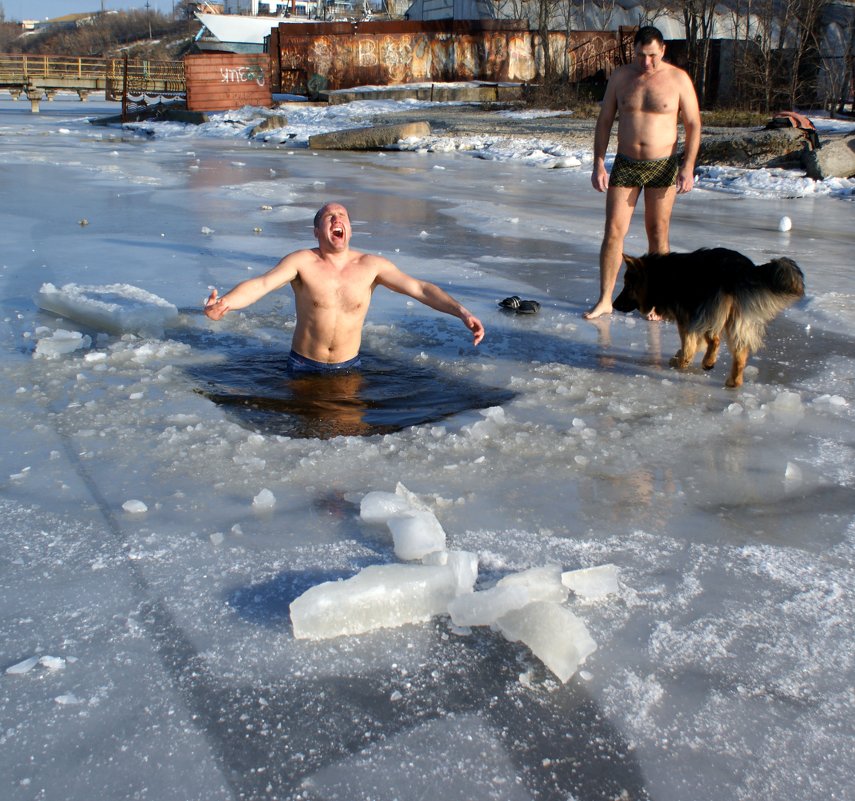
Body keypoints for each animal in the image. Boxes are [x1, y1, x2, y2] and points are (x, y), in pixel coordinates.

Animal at [616, 248, 804, 390]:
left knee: (715, 339)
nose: (614, 304)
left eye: (627, 286)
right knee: (740, 351)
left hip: (708, 311)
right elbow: (695, 343)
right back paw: (734, 381)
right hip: (735, 318)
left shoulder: (687, 317)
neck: (658, 275)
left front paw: (682, 360)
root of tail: (743, 269)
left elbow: (689, 344)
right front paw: (682, 356)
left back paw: (708, 362)